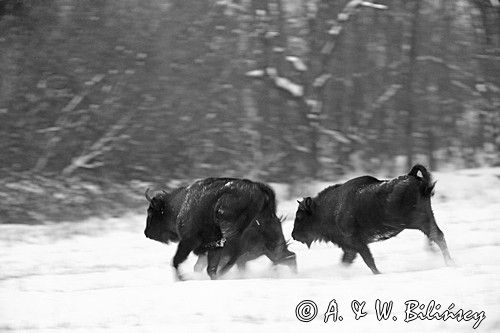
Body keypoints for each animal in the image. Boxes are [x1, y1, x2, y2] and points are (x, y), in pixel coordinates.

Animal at [143, 178, 294, 278]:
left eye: (151, 212)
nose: (146, 232)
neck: (179, 205)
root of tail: (257, 188)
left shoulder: (188, 241)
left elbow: (176, 260)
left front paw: (182, 278)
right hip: (269, 238)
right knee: (285, 256)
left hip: (227, 224)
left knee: (233, 252)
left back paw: (221, 273)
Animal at [292, 165, 456, 274]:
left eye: (300, 216)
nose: (294, 235)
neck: (331, 208)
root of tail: (412, 176)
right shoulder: (350, 248)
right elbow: (346, 261)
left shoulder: (357, 243)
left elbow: (369, 260)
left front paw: (379, 273)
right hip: (425, 219)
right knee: (437, 236)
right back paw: (446, 261)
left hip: (418, 221)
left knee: (437, 236)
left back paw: (448, 262)